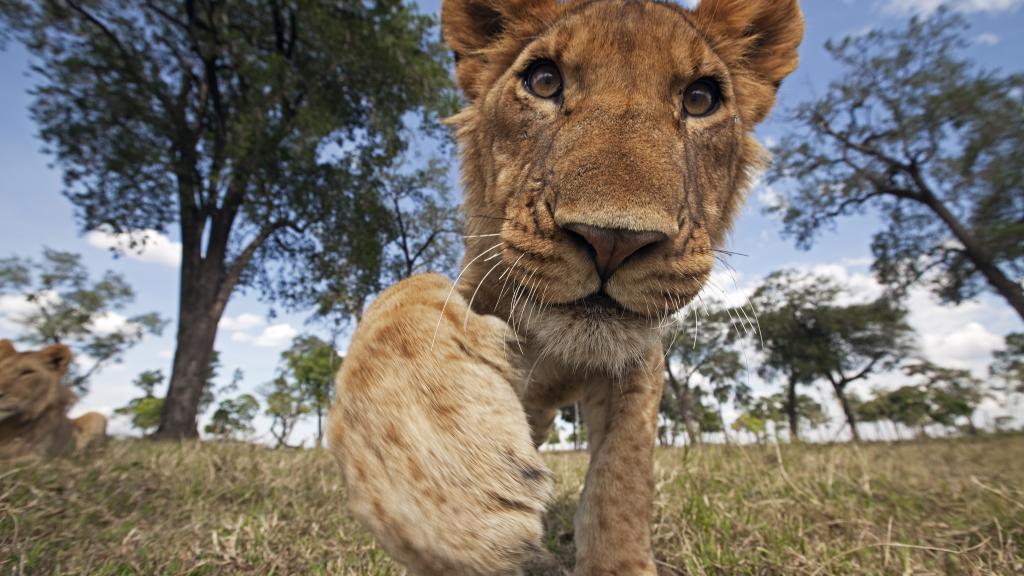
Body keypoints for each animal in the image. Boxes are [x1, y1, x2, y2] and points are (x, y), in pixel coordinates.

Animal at [327, 0, 804, 574]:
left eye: (700, 98)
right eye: (544, 81)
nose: (613, 240)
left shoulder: (638, 363)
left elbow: (623, 473)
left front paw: (619, 563)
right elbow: (403, 295)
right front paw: (452, 492)